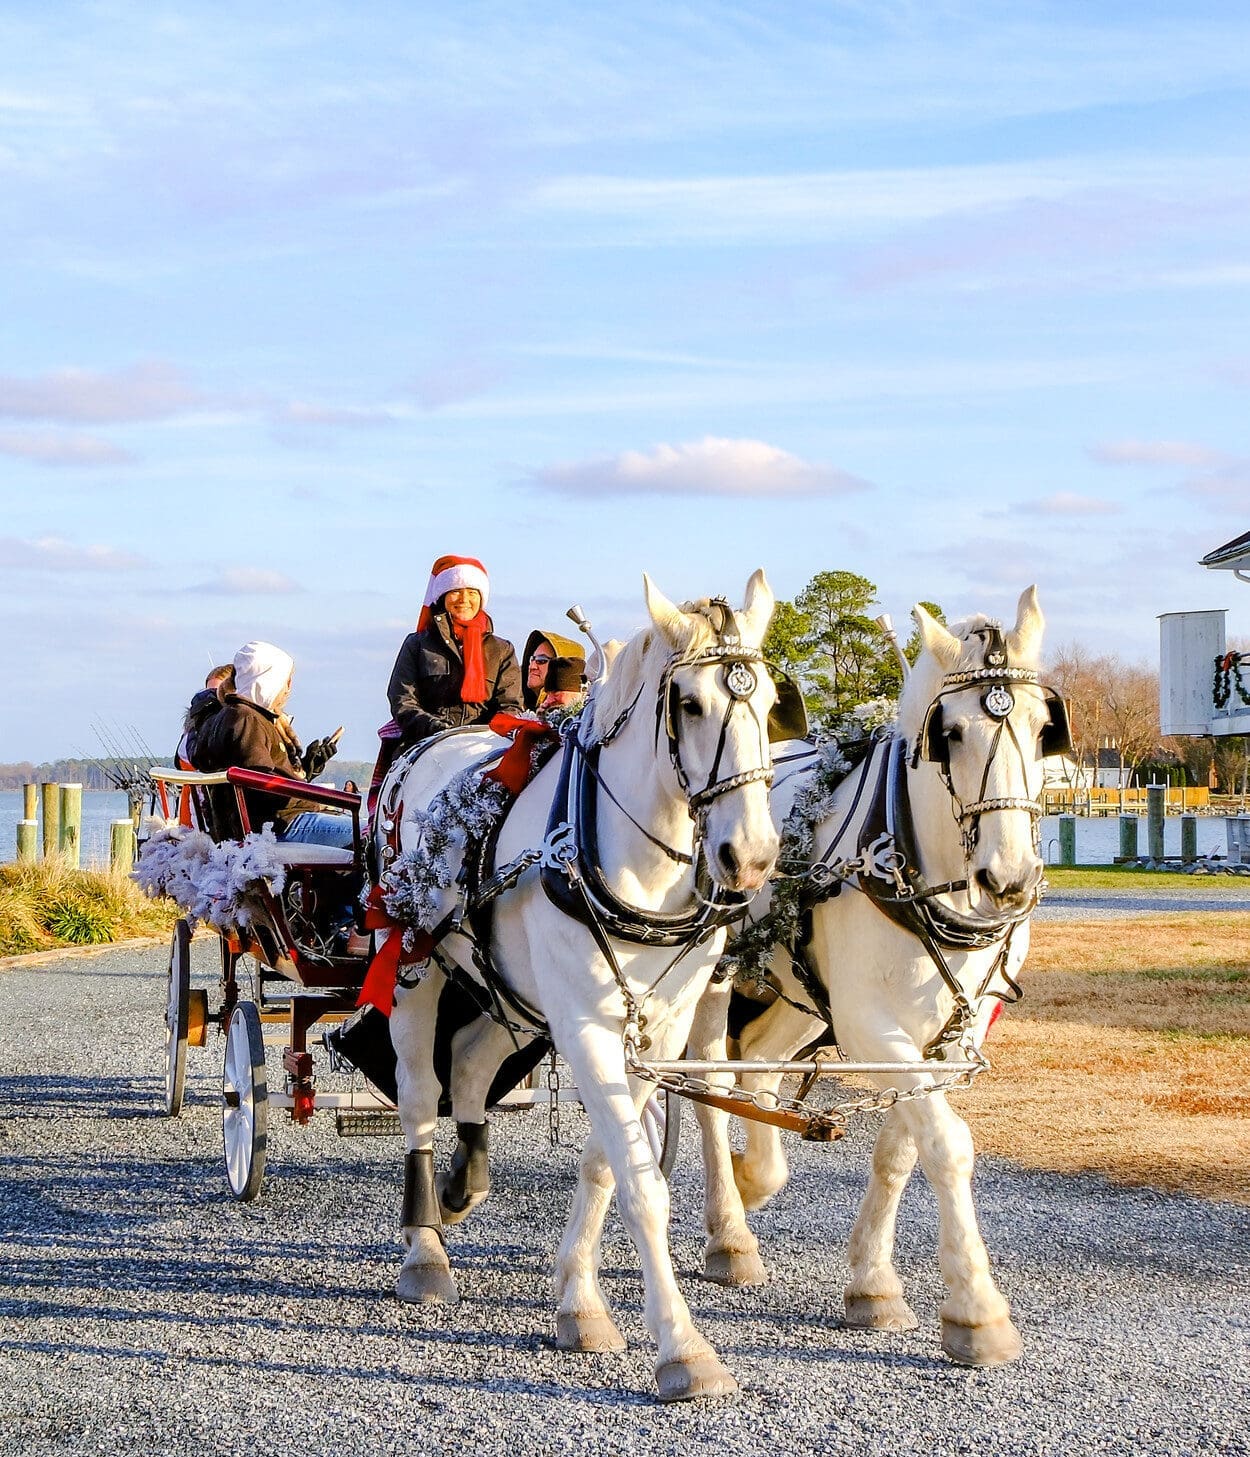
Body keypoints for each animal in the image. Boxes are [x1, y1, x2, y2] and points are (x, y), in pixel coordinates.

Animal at [376, 571, 784, 1402]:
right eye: (689, 703)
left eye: (766, 702)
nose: (751, 856)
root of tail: (440, 739)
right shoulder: (586, 1025)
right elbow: (641, 1181)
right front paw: (683, 1347)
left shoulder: (654, 1026)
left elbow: (605, 1162)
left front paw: (580, 1298)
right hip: (414, 962)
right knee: (420, 1092)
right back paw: (424, 1244)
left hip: (511, 989)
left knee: (471, 1059)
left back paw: (465, 1184)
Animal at [688, 585, 1069, 1367]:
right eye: (949, 732)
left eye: (1044, 726)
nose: (1009, 880)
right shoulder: (872, 1025)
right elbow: (948, 1145)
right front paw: (979, 1312)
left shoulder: (947, 1037)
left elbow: (902, 1148)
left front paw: (873, 1283)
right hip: (714, 979)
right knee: (709, 1085)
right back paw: (730, 1233)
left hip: (801, 993)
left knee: (759, 1064)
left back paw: (755, 1177)